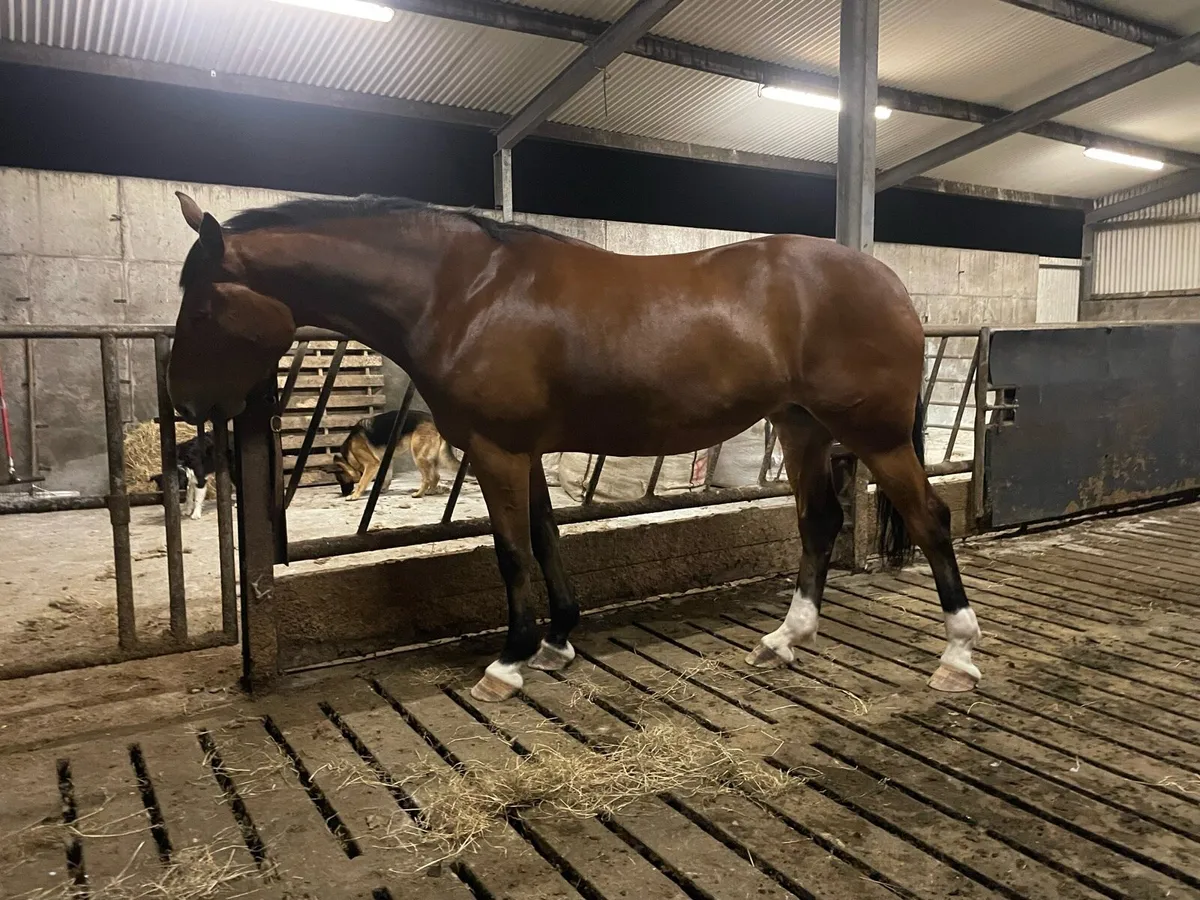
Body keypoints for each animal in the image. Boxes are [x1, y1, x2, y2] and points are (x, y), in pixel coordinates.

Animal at [166, 191, 982, 703]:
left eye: (202, 305)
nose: (182, 405)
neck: (464, 293)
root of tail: (889, 283)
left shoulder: (495, 450)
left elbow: (510, 552)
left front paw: (508, 662)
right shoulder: (521, 451)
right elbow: (547, 537)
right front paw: (558, 640)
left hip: (874, 436)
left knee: (932, 521)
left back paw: (957, 655)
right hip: (802, 425)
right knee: (819, 523)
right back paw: (786, 638)